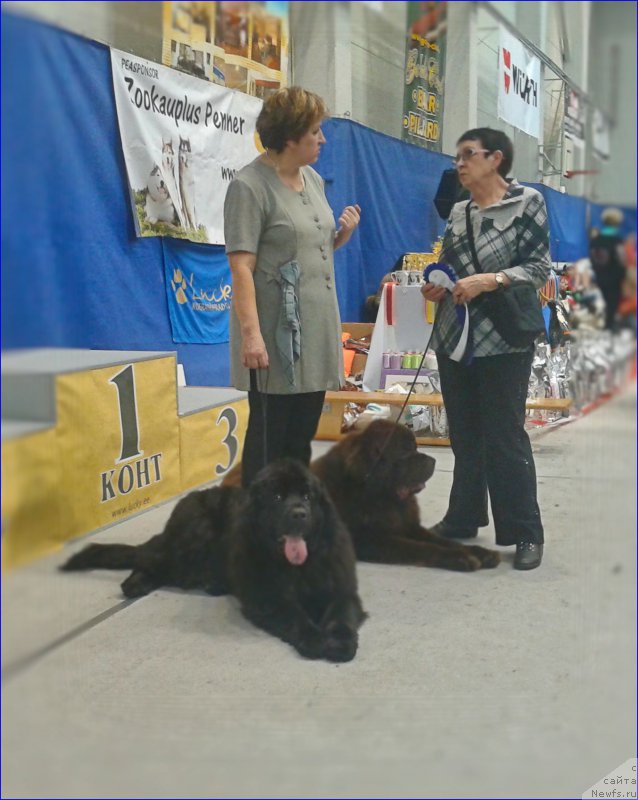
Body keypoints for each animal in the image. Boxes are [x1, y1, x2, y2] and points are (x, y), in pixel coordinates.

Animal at [63, 460, 370, 660]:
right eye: (277, 496)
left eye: (307, 496)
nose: (299, 513)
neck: (298, 568)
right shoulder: (267, 597)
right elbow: (295, 616)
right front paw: (315, 639)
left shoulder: (341, 588)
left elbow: (341, 613)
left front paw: (341, 642)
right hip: (194, 536)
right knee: (150, 557)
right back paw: (135, 584)